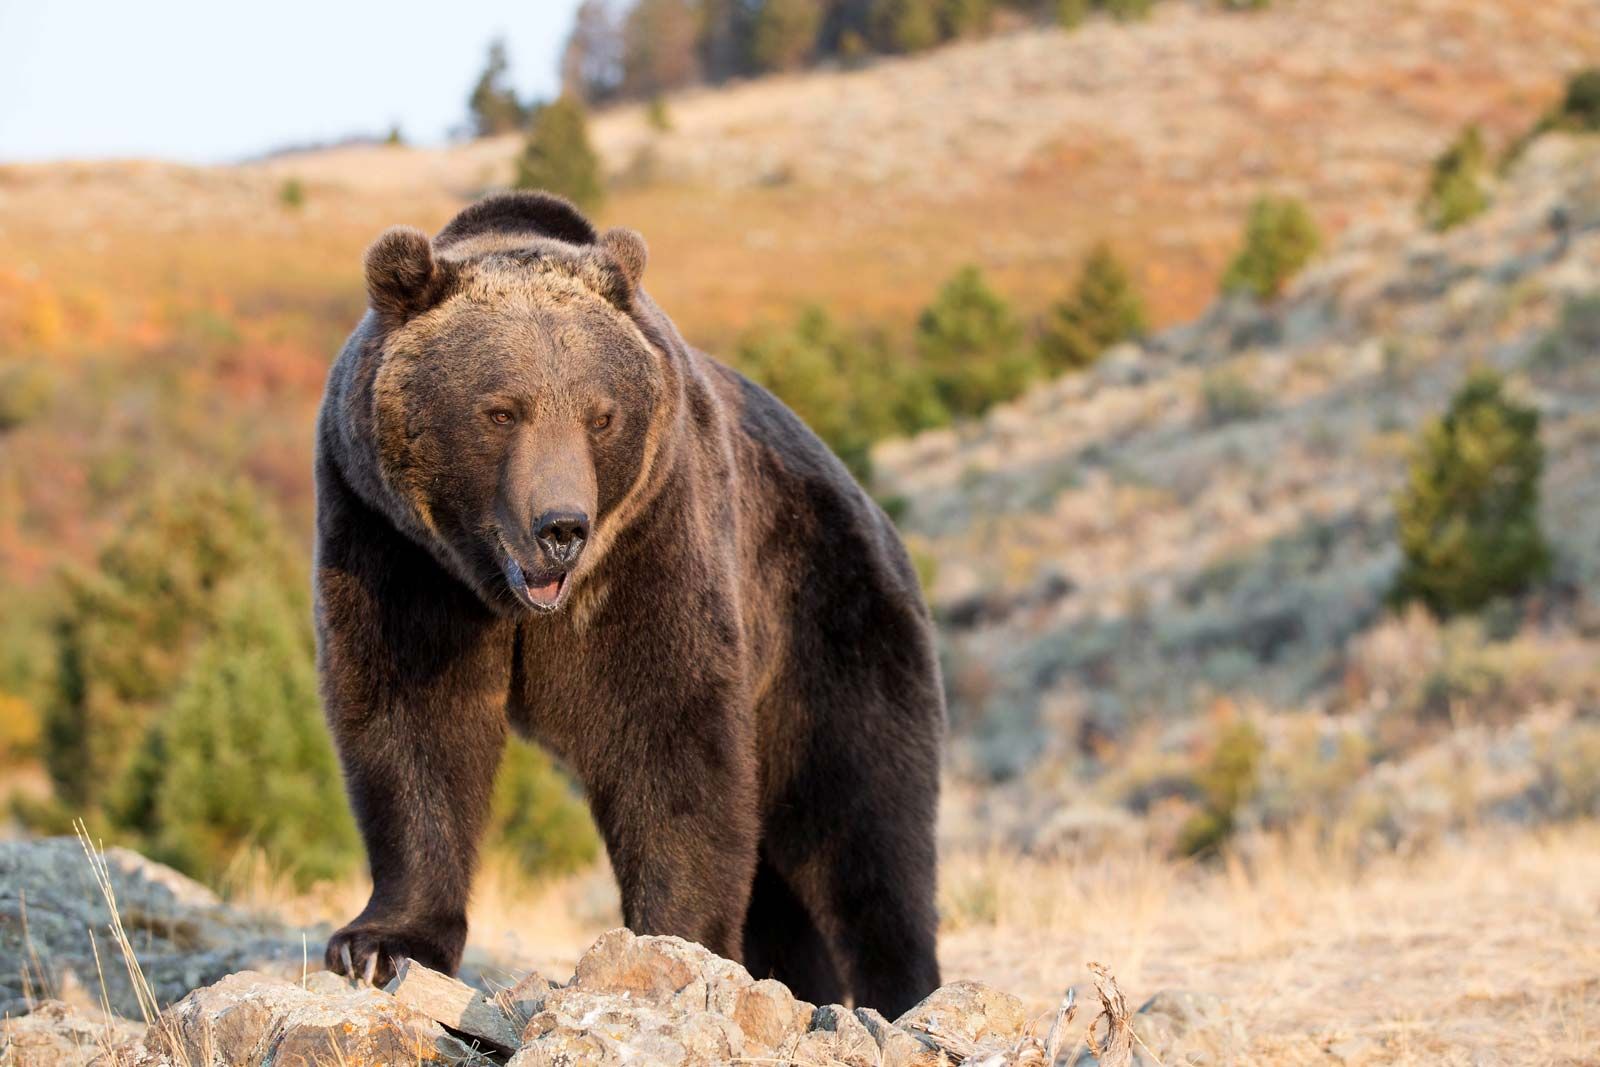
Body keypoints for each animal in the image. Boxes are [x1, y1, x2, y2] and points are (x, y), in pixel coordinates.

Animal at [314, 191, 944, 1016]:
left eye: (600, 414)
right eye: (501, 410)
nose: (561, 527)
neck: (505, 595)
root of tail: (880, 515)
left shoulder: (653, 536)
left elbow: (667, 731)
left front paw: (676, 946)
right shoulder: (393, 544)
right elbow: (411, 717)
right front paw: (380, 942)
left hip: (828, 620)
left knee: (865, 820)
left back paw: (900, 992)